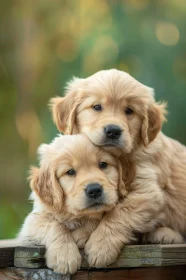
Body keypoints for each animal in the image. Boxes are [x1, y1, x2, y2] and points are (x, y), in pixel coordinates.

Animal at [17, 133, 126, 274]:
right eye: (70, 172)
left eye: (103, 164)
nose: (94, 190)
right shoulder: (32, 222)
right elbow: (55, 225)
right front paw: (64, 256)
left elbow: (95, 220)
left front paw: (81, 234)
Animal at [49, 69, 186, 266]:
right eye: (97, 107)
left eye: (129, 111)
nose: (113, 131)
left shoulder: (148, 191)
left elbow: (118, 213)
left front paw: (100, 246)